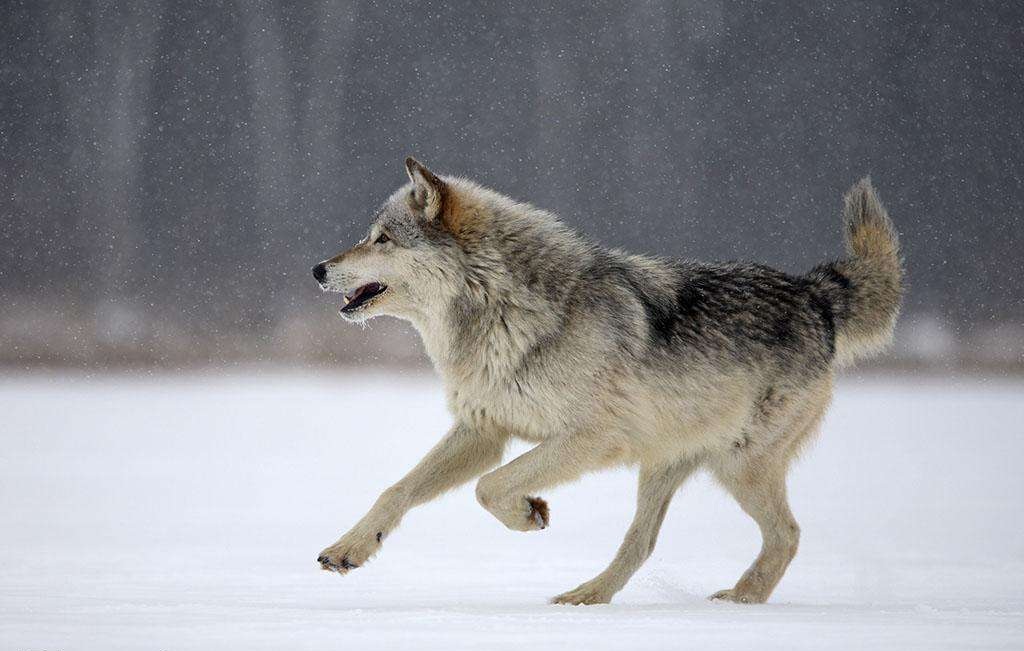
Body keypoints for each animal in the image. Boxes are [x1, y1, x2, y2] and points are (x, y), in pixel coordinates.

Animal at [311, 158, 905, 605]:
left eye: (382, 240)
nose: (318, 269)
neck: (502, 308)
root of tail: (815, 293)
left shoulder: (591, 439)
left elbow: (491, 487)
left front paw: (528, 513)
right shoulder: (482, 431)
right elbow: (397, 489)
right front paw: (349, 548)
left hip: (738, 465)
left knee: (787, 536)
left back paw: (738, 603)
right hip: (665, 467)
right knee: (641, 545)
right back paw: (585, 598)